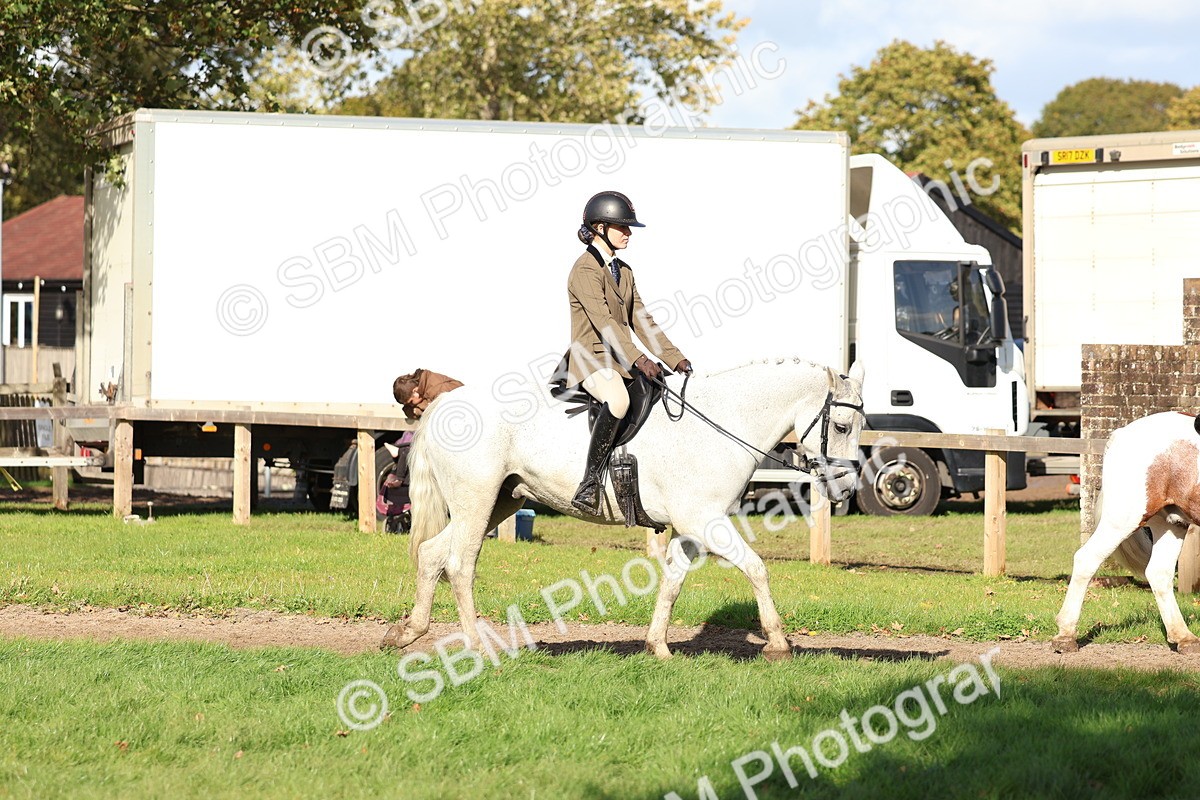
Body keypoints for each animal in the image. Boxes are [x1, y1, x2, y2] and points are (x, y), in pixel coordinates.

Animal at [381, 358, 866, 660]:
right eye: (842, 426)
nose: (845, 488)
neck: (723, 422)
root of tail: (444, 405)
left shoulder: (689, 529)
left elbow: (672, 582)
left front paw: (658, 647)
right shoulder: (705, 521)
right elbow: (757, 568)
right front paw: (778, 642)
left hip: (498, 501)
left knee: (432, 554)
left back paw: (407, 632)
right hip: (476, 502)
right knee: (459, 564)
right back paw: (478, 648)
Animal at [1052, 411, 1200, 654]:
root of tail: (1121, 433)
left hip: (1171, 523)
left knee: (1159, 573)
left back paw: (1184, 638)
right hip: (1124, 519)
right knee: (1086, 559)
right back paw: (1066, 635)